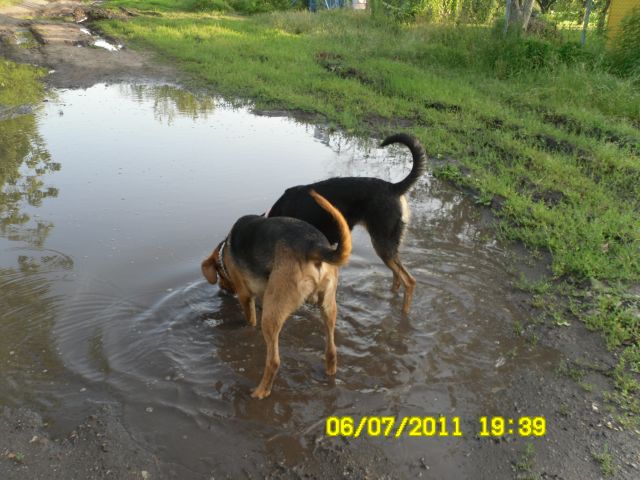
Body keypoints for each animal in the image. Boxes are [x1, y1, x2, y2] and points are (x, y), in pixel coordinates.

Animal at [201, 190, 350, 398]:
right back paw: (329, 373)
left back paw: (260, 392)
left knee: (273, 361)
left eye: (221, 276)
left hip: (272, 316)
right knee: (331, 350)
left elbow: (250, 318)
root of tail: (313, 245)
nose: (222, 291)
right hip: (328, 307)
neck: (225, 251)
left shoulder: (245, 296)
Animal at [268, 132, 428, 312]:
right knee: (397, 277)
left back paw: (404, 313)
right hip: (389, 246)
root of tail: (393, 187)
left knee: (409, 281)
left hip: (382, 244)